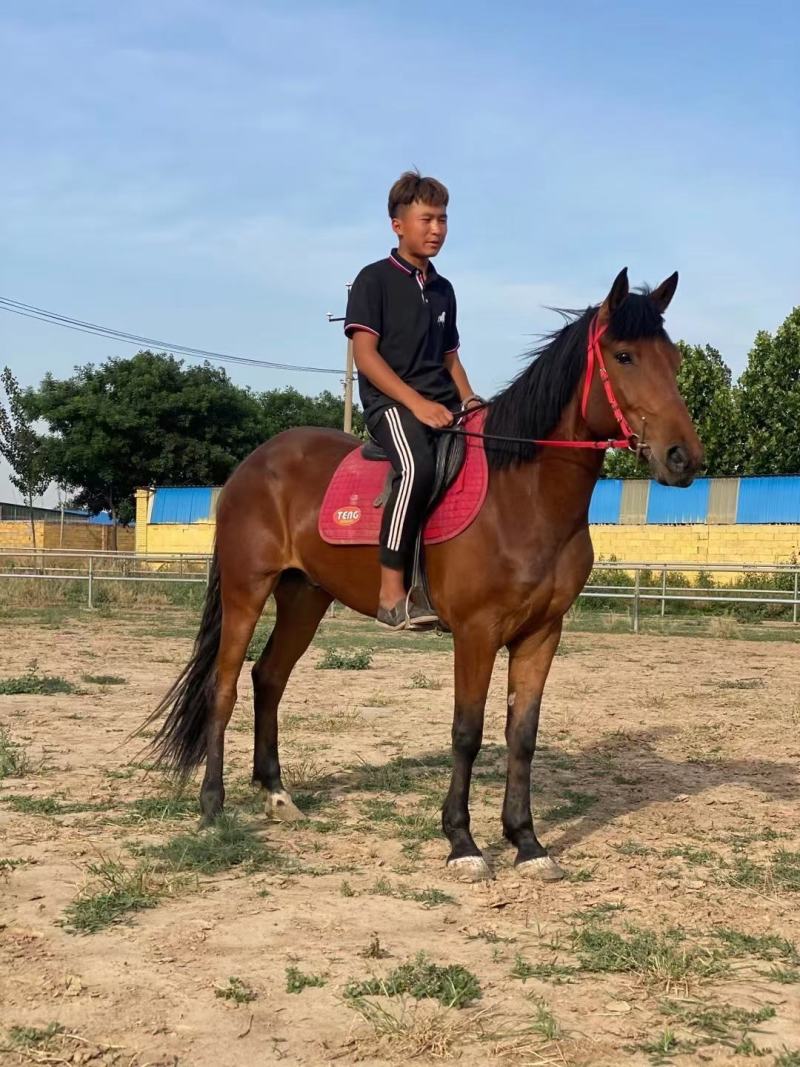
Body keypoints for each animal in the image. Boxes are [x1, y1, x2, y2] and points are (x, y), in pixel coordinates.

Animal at [147, 267, 703, 882]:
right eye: (624, 356)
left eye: (675, 360)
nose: (684, 458)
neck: (525, 494)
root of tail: (251, 465)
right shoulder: (476, 633)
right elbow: (467, 733)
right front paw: (463, 842)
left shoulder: (542, 634)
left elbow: (522, 735)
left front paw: (527, 842)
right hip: (248, 591)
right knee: (223, 687)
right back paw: (212, 808)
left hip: (304, 597)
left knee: (268, 677)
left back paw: (276, 794)